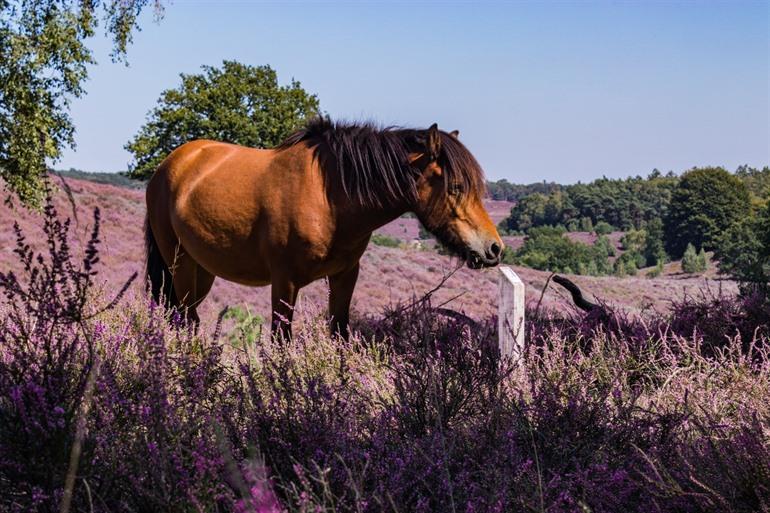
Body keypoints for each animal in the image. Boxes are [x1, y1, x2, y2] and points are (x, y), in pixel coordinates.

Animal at [144, 118, 504, 339]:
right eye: (456, 187)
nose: (494, 248)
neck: (329, 198)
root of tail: (171, 164)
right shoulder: (285, 282)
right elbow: (281, 341)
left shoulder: (345, 276)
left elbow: (339, 335)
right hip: (179, 264)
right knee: (184, 318)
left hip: (201, 270)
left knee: (186, 316)